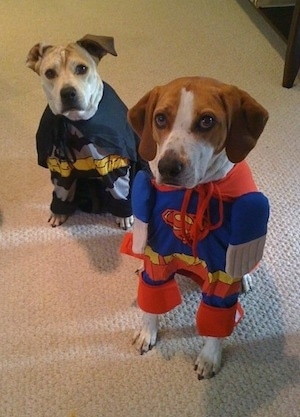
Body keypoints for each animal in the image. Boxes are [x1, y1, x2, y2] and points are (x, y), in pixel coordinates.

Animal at [120, 76, 270, 378]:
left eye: (207, 121)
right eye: (160, 118)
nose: (167, 167)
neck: (195, 194)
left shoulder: (221, 275)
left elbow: (216, 321)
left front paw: (210, 357)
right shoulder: (158, 256)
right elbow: (150, 302)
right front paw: (147, 332)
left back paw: (245, 278)